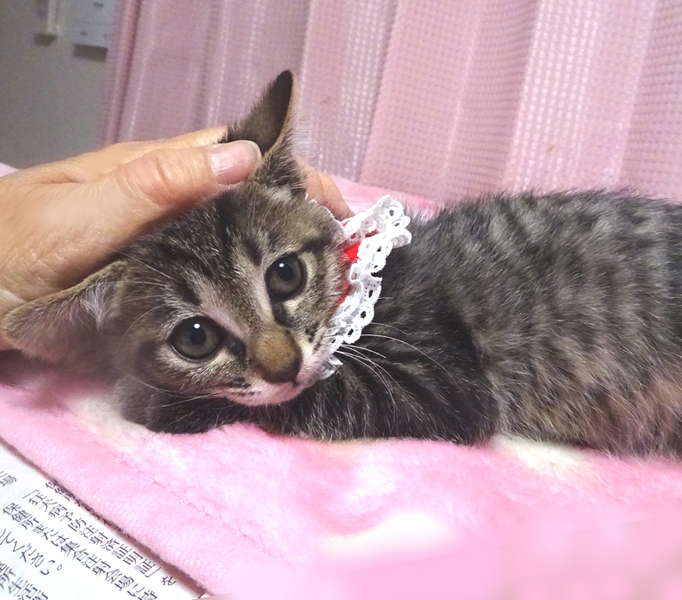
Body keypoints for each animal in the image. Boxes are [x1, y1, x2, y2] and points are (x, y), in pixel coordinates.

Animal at [5, 70, 682, 457]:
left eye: (285, 275)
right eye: (194, 338)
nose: (283, 366)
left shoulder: (443, 385)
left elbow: (304, 402)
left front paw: (154, 404)